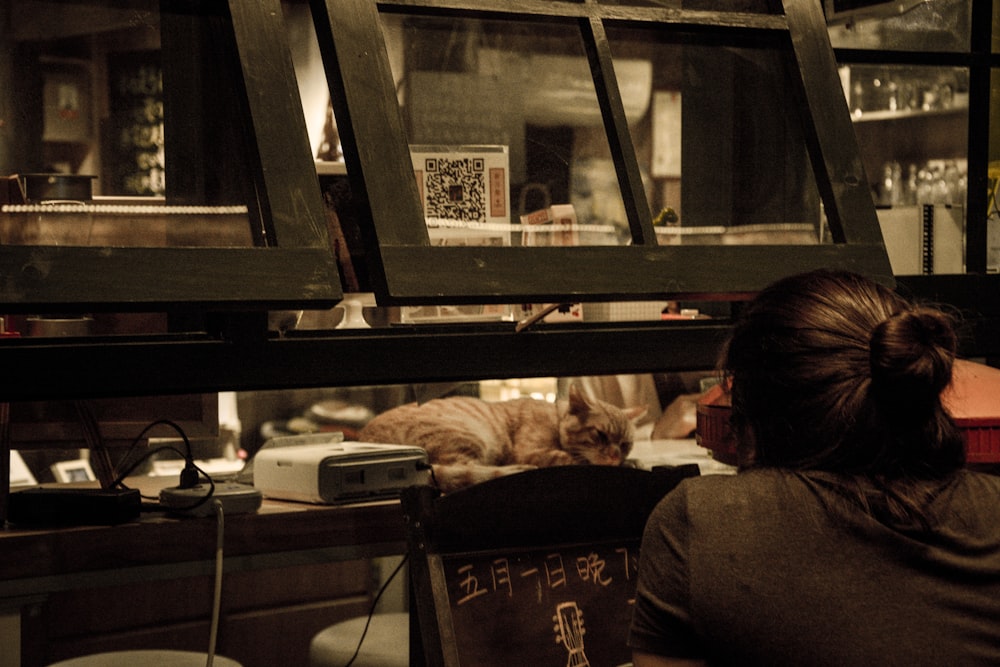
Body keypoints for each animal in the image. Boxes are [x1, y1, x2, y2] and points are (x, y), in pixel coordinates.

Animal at [356, 384, 644, 494]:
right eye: (600, 435)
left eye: (625, 444)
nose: (615, 455)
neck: (555, 418)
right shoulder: (533, 451)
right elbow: (575, 459)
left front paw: (632, 462)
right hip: (470, 437)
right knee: (463, 471)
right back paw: (516, 470)